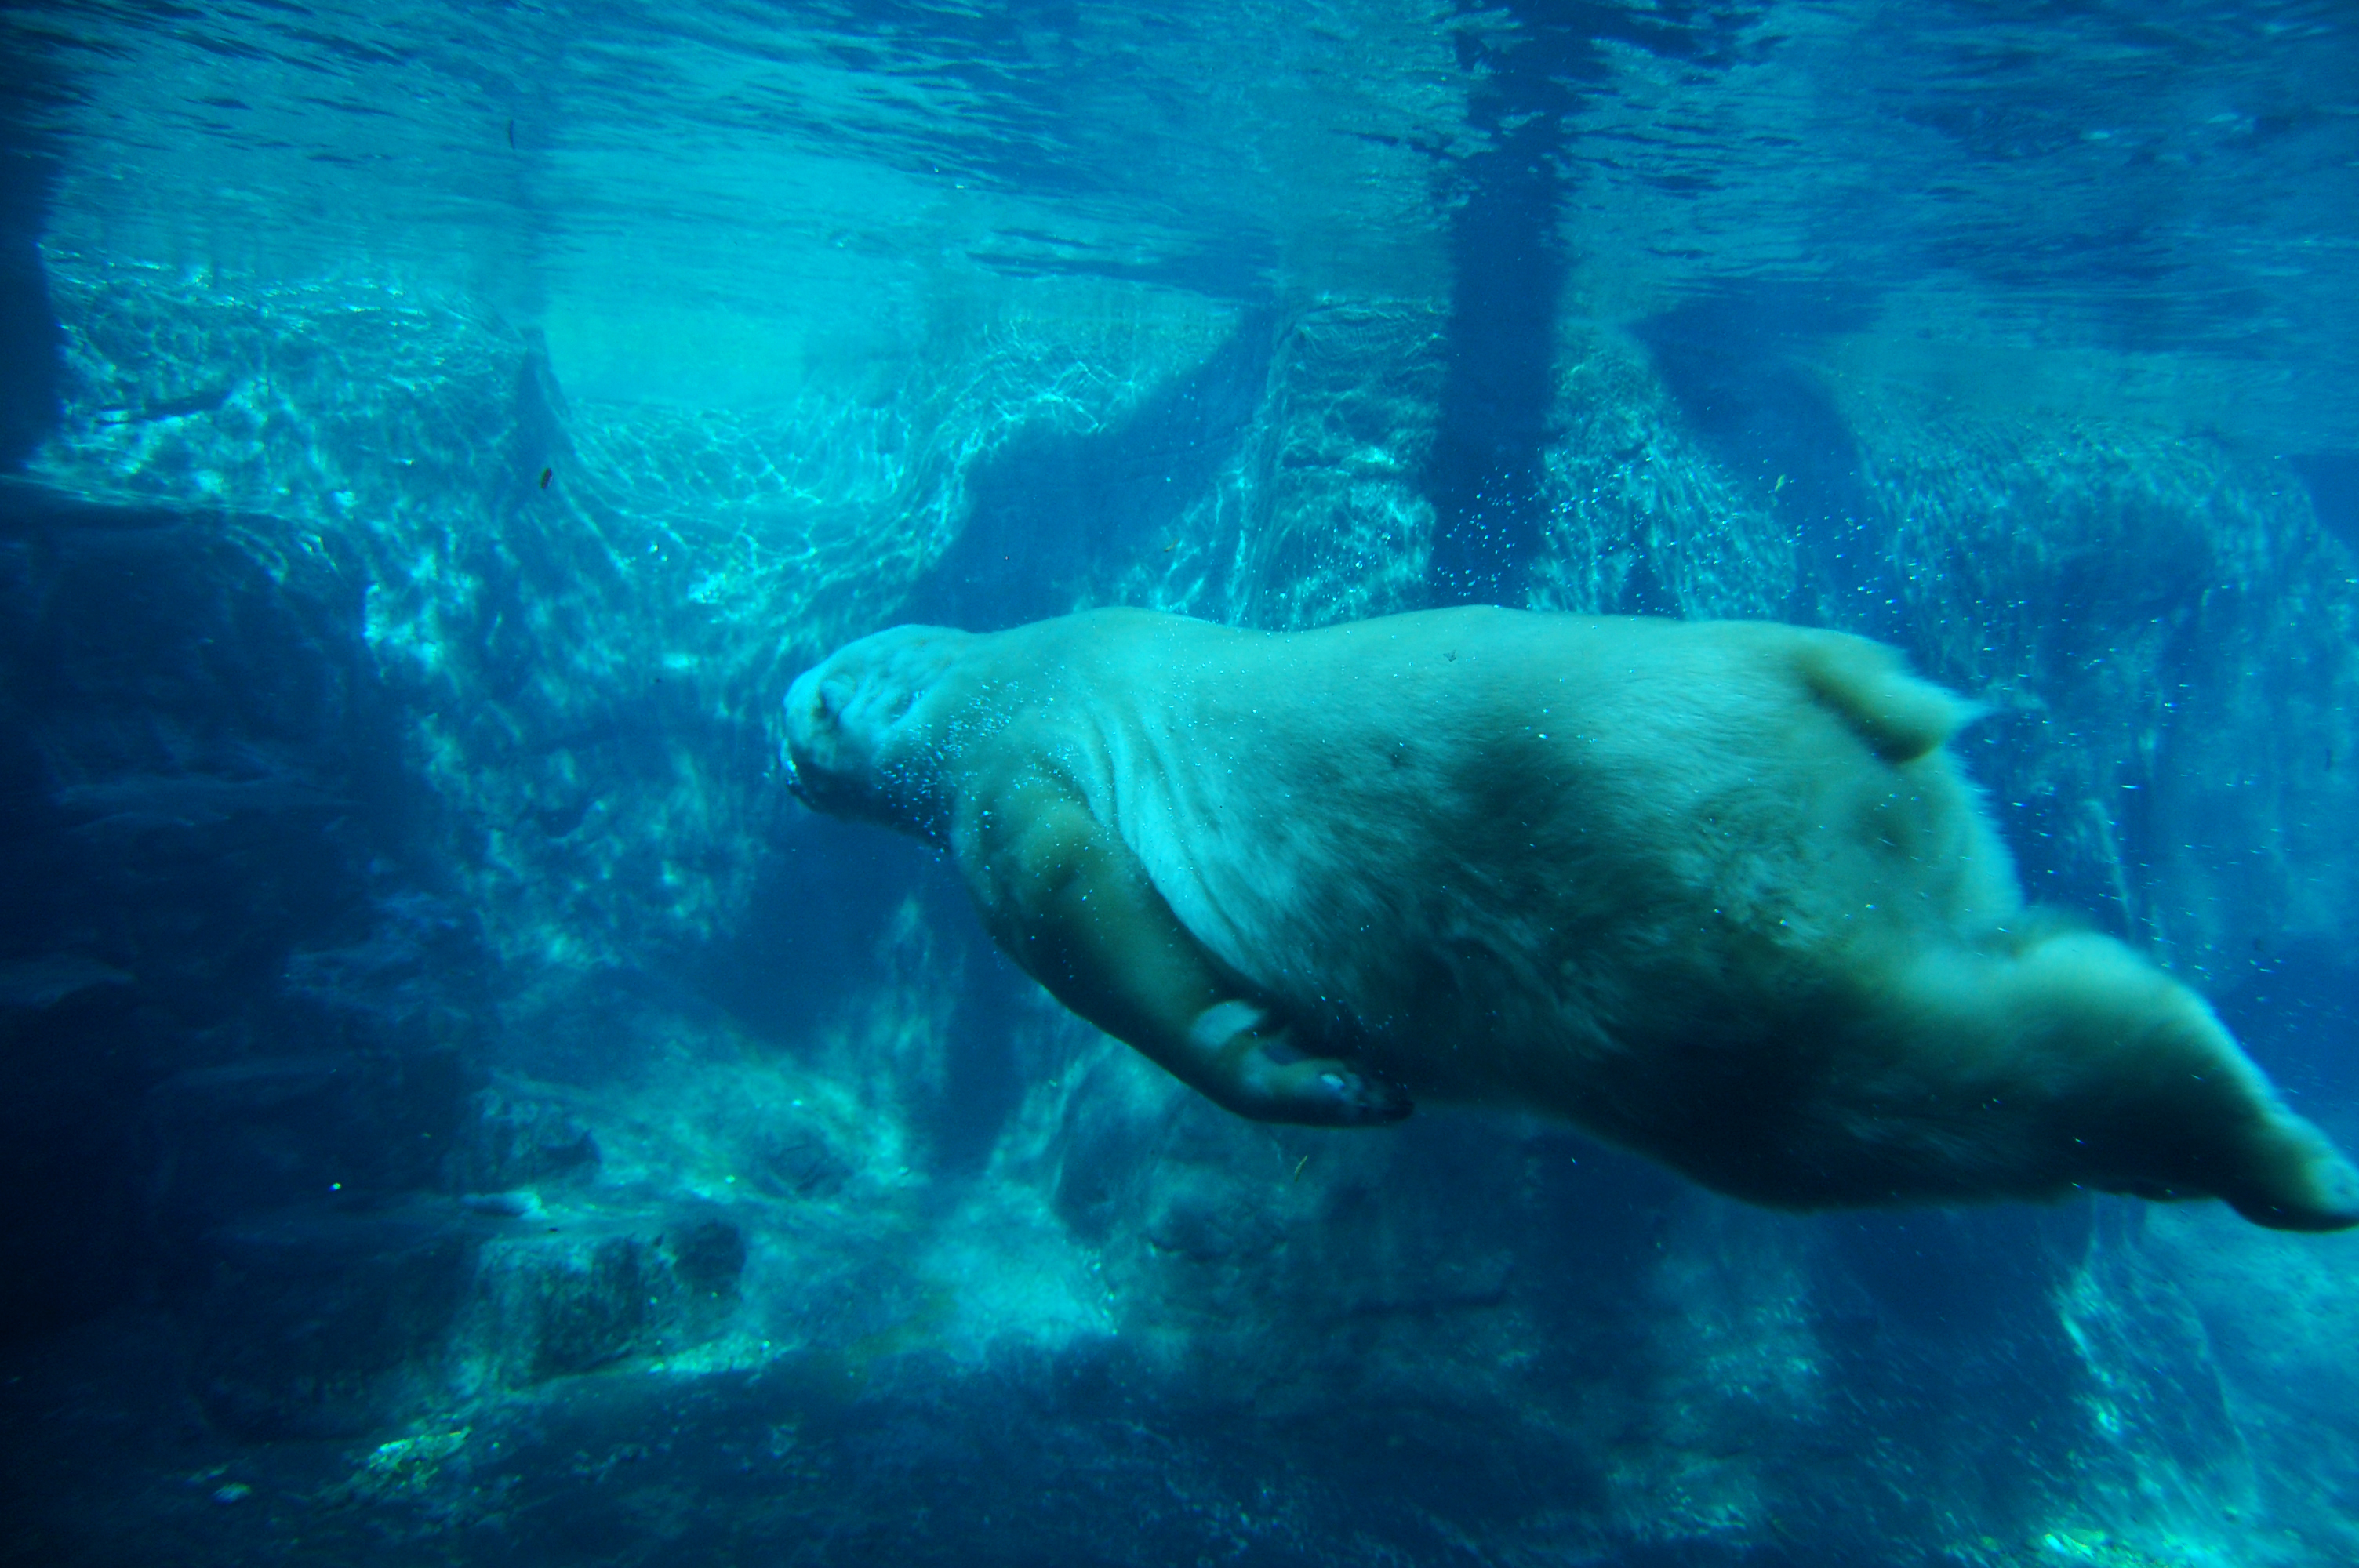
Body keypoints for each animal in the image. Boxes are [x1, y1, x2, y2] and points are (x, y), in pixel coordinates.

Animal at [778, 603, 2359, 1225]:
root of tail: (1817, 673)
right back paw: (2274, 1148)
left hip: (1665, 877)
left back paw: (2288, 1161)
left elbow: (1086, 918)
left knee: (1924, 1063)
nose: (774, 752)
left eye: (803, 707)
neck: (980, 665)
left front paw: (1310, 1075)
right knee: (1976, 1057)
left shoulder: (1019, 744)